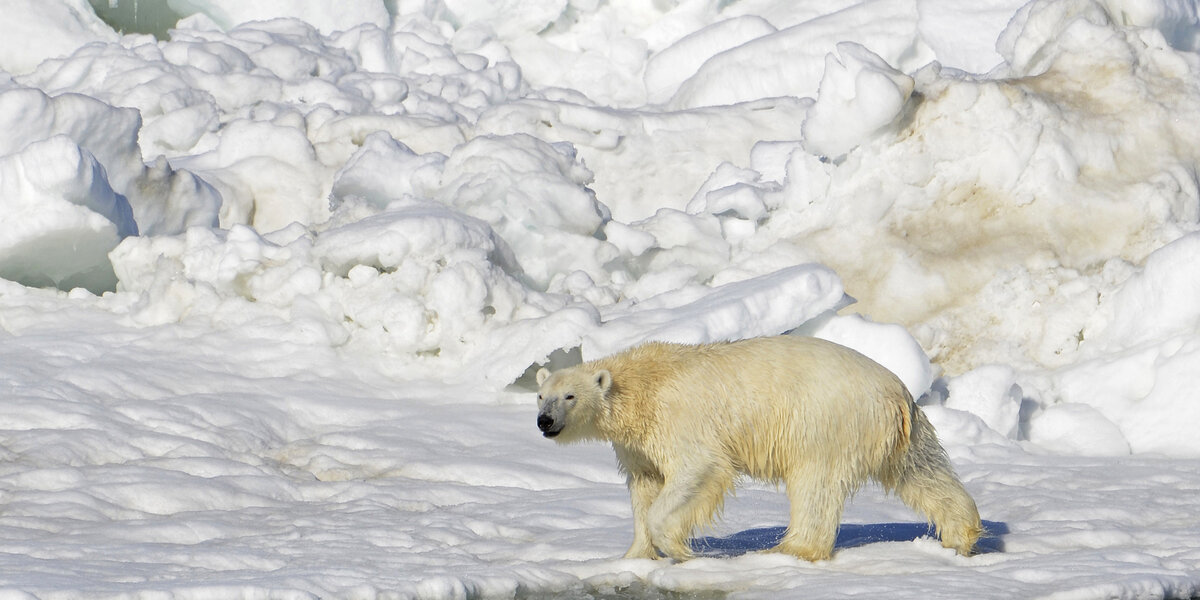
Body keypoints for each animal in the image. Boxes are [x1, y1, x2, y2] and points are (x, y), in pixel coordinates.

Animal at [537, 336, 984, 559]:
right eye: (541, 396)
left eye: (569, 396)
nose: (545, 421)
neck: (643, 385)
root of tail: (896, 392)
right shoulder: (638, 444)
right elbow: (645, 486)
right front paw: (634, 556)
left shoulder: (680, 420)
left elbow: (698, 469)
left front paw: (680, 550)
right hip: (900, 433)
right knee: (923, 473)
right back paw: (960, 536)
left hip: (825, 422)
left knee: (815, 485)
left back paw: (790, 549)